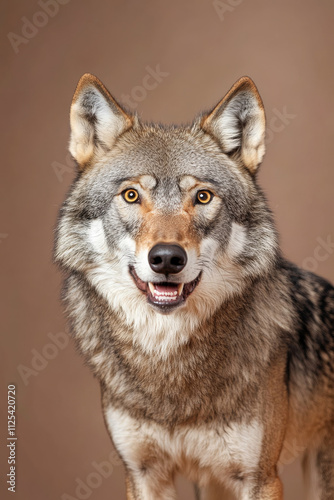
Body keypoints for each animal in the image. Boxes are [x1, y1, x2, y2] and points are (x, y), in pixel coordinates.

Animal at [54, 72, 334, 498]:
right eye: (131, 195)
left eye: (202, 196)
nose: (167, 259)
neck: (168, 357)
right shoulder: (144, 472)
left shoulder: (259, 477)